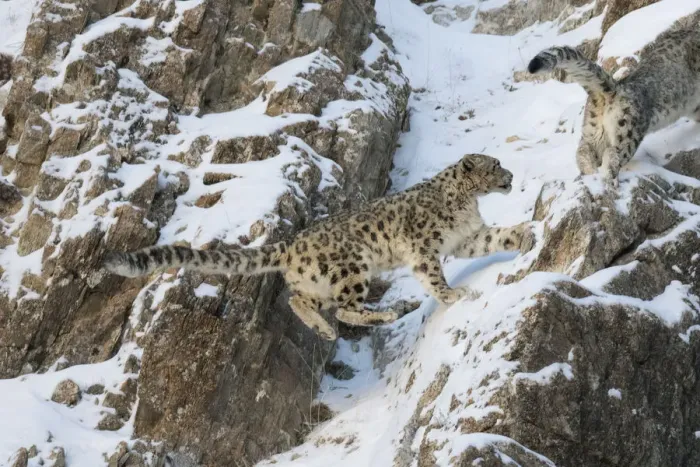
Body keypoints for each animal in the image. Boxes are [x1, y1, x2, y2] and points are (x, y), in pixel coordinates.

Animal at [102, 154, 534, 341]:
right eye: (495, 164)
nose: (512, 175)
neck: (466, 203)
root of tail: (292, 242)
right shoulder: (423, 247)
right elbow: (432, 276)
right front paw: (455, 294)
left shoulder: (468, 237)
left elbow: (495, 238)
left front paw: (525, 236)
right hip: (353, 268)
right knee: (345, 308)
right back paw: (383, 313)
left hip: (319, 282)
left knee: (300, 300)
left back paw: (322, 329)